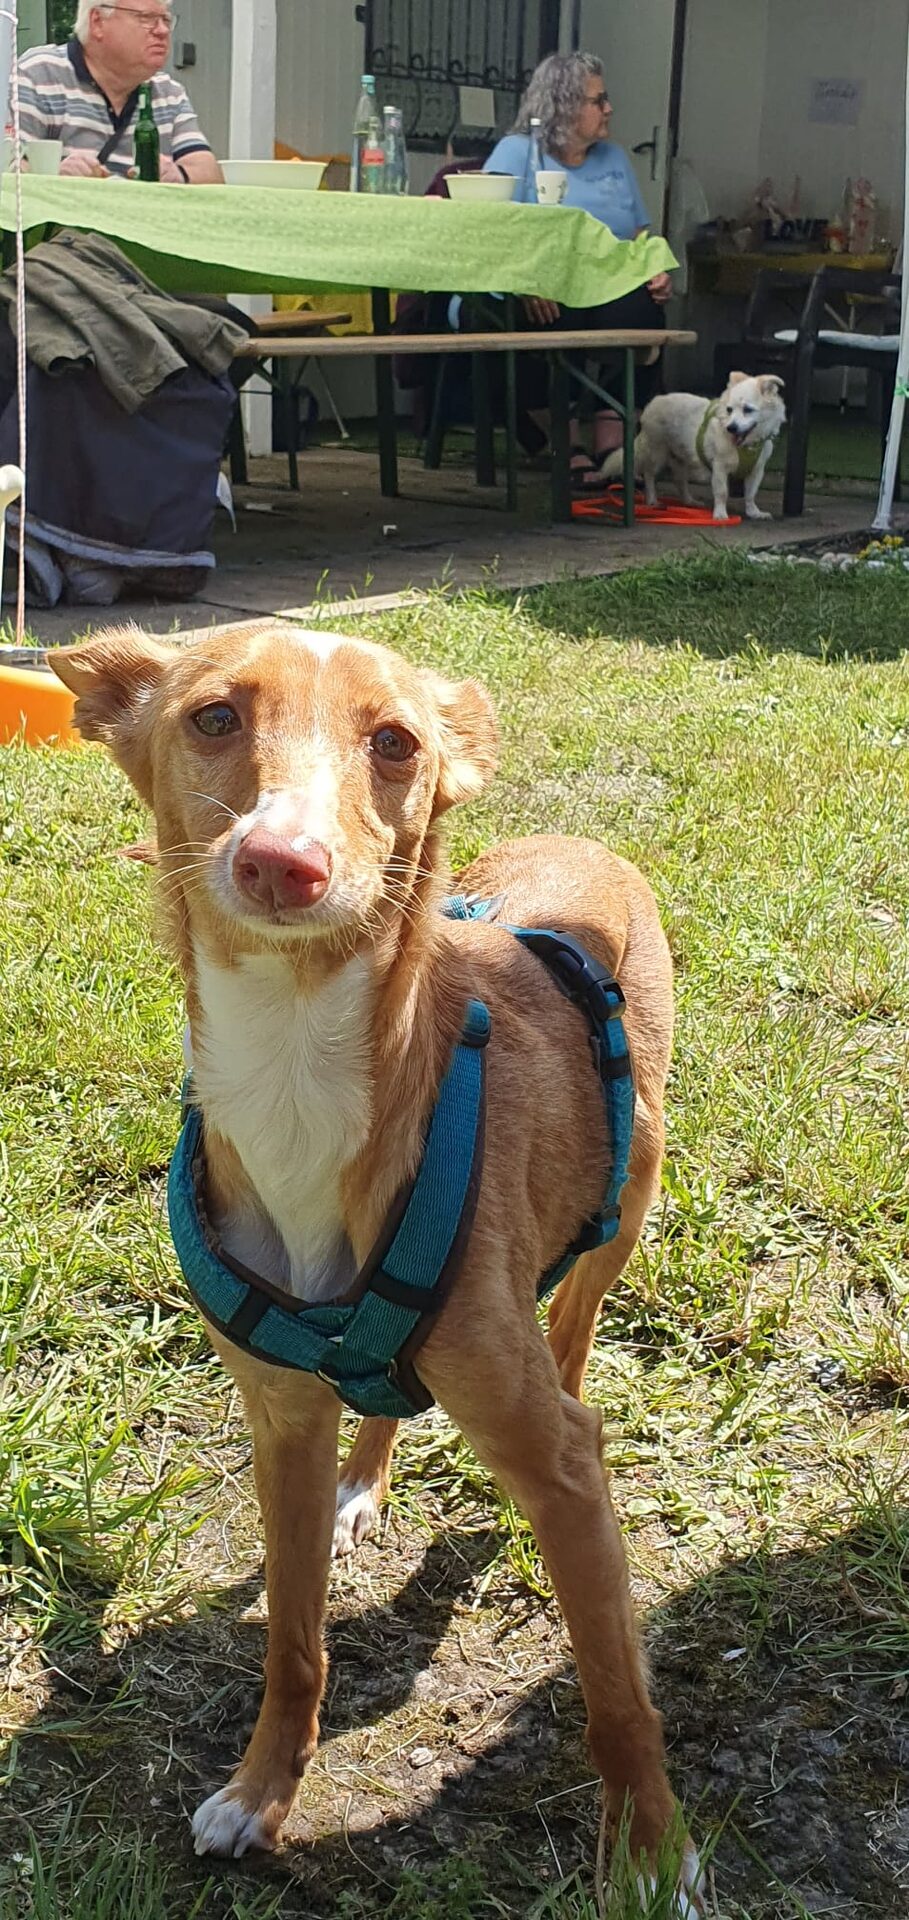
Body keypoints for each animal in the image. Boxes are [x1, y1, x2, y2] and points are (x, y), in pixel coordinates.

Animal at [51, 624, 702, 1912]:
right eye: (213, 717)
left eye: (395, 743)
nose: (284, 862)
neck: (296, 1069)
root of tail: (585, 845)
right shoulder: (281, 1426)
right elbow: (294, 1642)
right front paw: (263, 1792)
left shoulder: (553, 1458)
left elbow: (615, 1694)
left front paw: (653, 1859)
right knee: (387, 1409)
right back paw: (370, 1481)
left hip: (623, 1208)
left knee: (575, 1338)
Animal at [599, 371, 786, 521]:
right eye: (729, 410)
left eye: (748, 410)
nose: (731, 427)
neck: (746, 446)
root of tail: (654, 401)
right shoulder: (719, 467)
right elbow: (722, 492)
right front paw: (720, 514)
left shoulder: (756, 470)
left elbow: (751, 493)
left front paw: (753, 512)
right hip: (657, 453)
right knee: (649, 475)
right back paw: (652, 499)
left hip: (681, 459)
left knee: (679, 481)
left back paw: (689, 501)